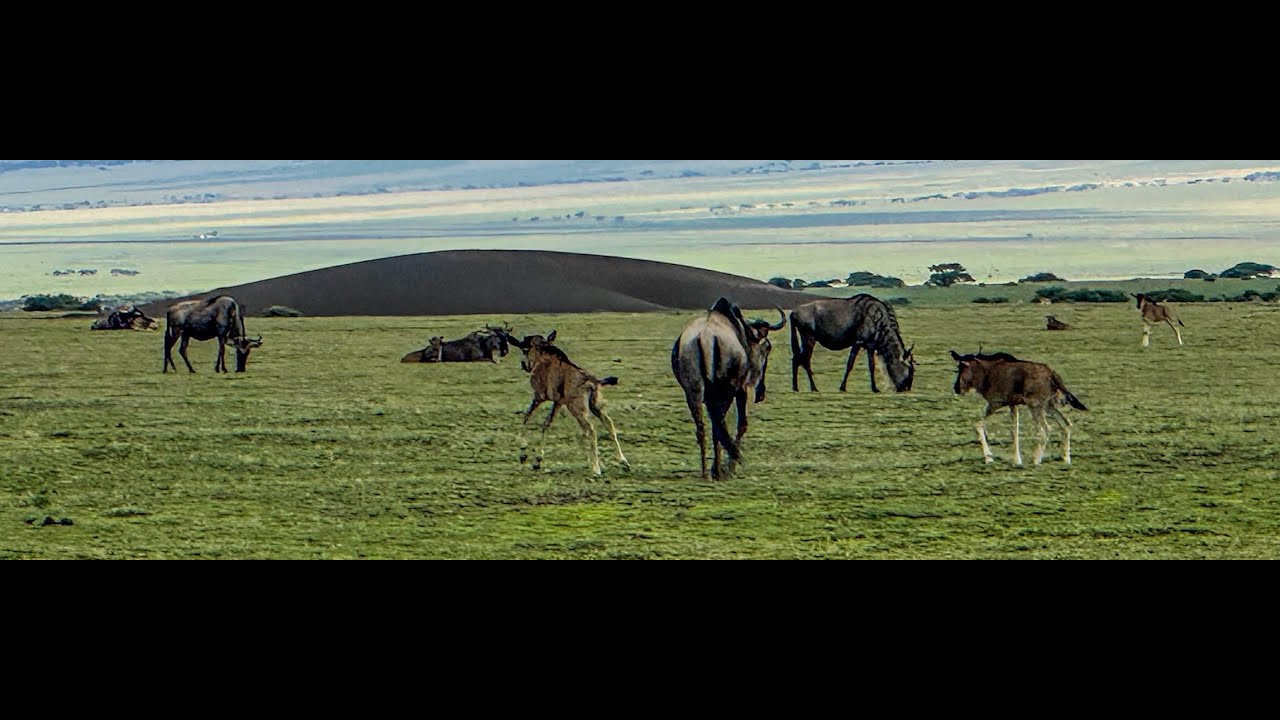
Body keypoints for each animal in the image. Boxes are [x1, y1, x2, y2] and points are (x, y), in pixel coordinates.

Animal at [950, 350, 1088, 466]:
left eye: (960, 369)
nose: (956, 388)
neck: (986, 373)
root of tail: (1052, 374)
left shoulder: (996, 403)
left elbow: (977, 424)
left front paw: (989, 458)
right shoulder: (1013, 404)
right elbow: (1014, 430)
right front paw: (1017, 460)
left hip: (1036, 406)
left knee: (1046, 428)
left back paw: (1036, 459)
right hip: (1049, 406)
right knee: (1066, 424)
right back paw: (1066, 458)